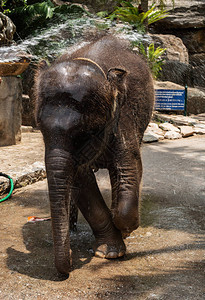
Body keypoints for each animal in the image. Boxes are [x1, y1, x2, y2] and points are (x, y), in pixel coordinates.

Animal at [34, 34, 155, 276]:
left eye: (84, 133)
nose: (71, 261)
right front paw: (109, 252)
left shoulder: (123, 116)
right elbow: (81, 181)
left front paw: (122, 231)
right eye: (40, 128)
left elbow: (129, 168)